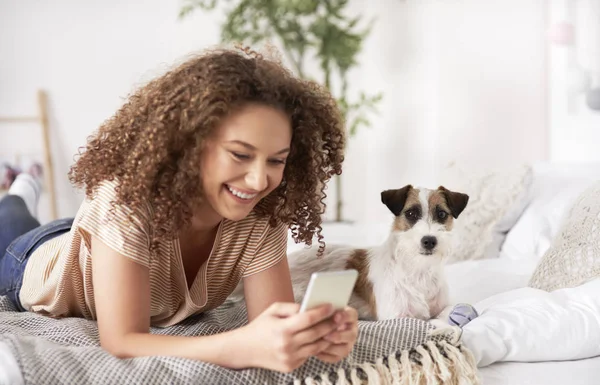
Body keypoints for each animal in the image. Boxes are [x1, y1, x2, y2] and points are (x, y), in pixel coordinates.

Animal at [288, 184, 468, 320]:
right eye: (411, 213)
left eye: (442, 214)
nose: (429, 241)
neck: (418, 270)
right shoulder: (397, 317)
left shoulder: (439, 308)